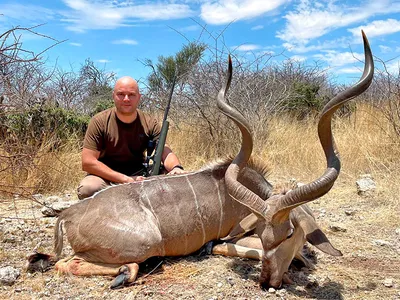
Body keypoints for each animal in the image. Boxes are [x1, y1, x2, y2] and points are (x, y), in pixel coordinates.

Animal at [28, 31, 376, 290]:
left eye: (289, 234)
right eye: (270, 235)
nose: (267, 282)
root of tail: (69, 215)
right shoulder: (239, 237)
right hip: (146, 242)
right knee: (68, 263)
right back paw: (125, 273)